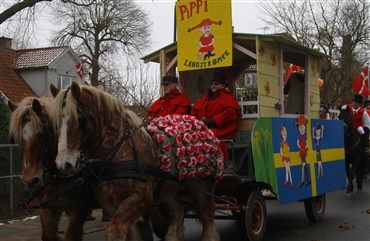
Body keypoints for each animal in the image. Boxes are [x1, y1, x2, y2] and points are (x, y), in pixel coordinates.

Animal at [8, 96, 90, 241]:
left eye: (41, 134)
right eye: (15, 138)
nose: (30, 180)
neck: (58, 174)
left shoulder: (78, 208)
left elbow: (72, 235)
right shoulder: (46, 207)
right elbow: (48, 235)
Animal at [50, 82, 221, 241]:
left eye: (79, 119)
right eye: (56, 123)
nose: (63, 165)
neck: (119, 147)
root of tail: (201, 125)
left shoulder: (140, 198)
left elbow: (114, 230)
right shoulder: (112, 205)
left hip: (203, 184)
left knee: (207, 216)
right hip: (169, 188)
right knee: (177, 211)